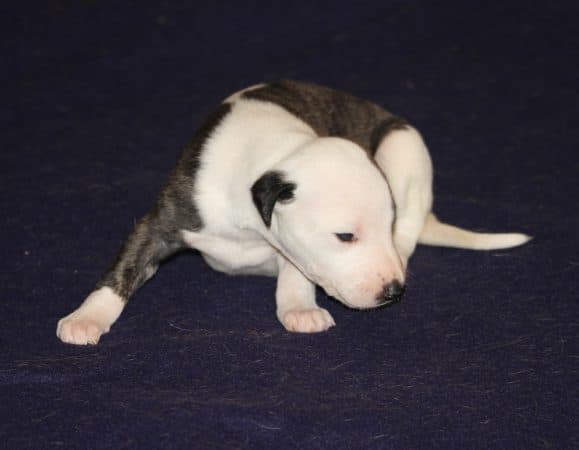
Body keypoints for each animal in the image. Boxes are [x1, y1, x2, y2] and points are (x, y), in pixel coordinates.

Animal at [55, 80, 532, 344]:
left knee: (411, 230)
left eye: (384, 224)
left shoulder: (291, 247)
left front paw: (300, 309)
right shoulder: (161, 223)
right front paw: (87, 317)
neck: (278, 150)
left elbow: (296, 273)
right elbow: (121, 271)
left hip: (404, 147)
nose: (394, 291)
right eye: (345, 236)